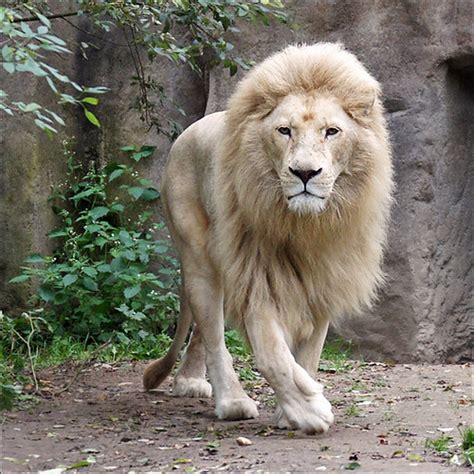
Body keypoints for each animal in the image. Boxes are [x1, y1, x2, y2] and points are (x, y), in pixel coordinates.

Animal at [143, 43, 394, 434]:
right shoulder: (256, 278)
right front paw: (309, 409)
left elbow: (309, 355)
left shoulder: (324, 280)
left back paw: (190, 381)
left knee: (201, 328)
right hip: (198, 255)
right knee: (213, 333)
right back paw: (232, 401)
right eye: (284, 130)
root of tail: (190, 129)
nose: (305, 173)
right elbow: (273, 354)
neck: (303, 227)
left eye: (331, 131)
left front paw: (290, 411)